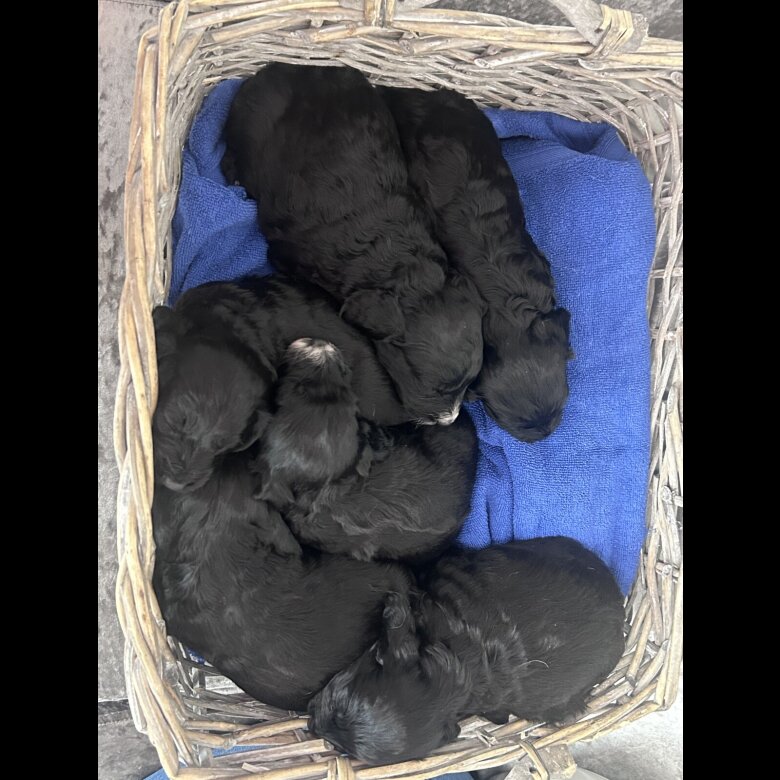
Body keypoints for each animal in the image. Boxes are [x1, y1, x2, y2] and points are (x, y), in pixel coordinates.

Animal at [222, 63, 485, 425]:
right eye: (427, 385)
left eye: (470, 380)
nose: (449, 419)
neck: (395, 252)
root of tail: (281, 66)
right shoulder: (285, 255)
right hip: (248, 121)